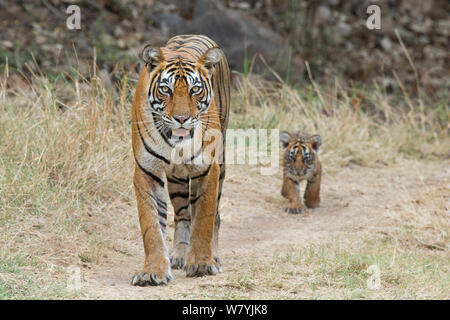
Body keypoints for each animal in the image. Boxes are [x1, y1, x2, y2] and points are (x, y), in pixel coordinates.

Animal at [129, 33, 229, 286]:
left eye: (195, 89)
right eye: (166, 89)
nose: (182, 118)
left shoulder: (208, 169)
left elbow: (204, 217)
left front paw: (203, 263)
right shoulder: (146, 171)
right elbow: (151, 226)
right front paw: (152, 271)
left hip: (222, 161)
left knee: (215, 215)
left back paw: (214, 255)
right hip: (176, 178)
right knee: (183, 214)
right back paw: (180, 254)